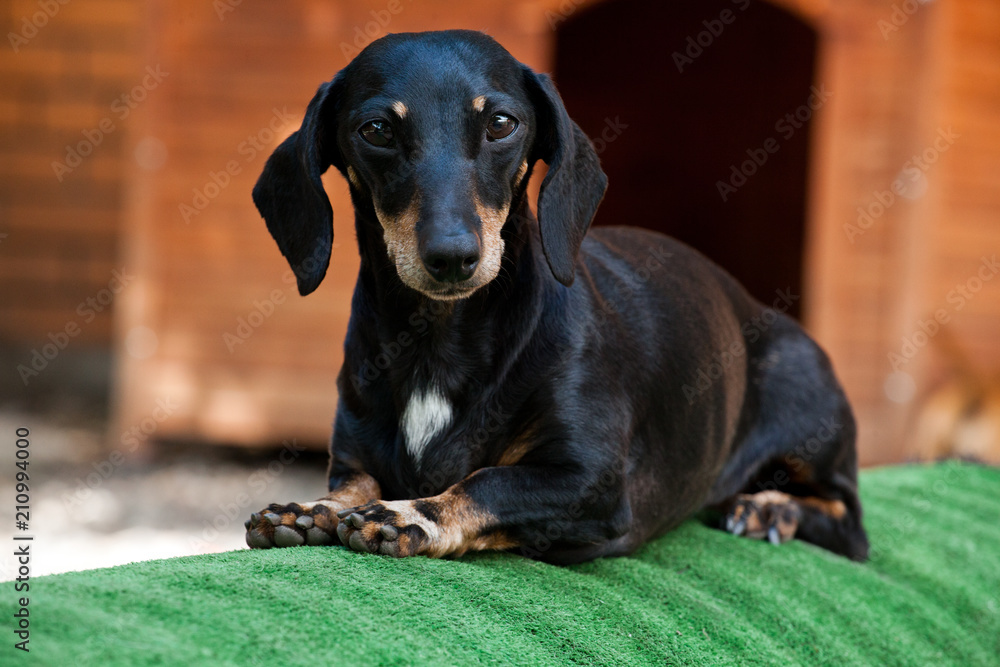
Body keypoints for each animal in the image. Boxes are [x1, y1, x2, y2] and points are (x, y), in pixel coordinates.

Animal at [244, 30, 868, 564]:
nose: (452, 256)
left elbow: (488, 483)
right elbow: (354, 483)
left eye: (501, 123)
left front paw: (413, 514)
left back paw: (768, 509)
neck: (438, 336)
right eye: (376, 130)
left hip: (809, 419)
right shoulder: (354, 454)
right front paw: (314, 510)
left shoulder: (590, 482)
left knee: (849, 523)